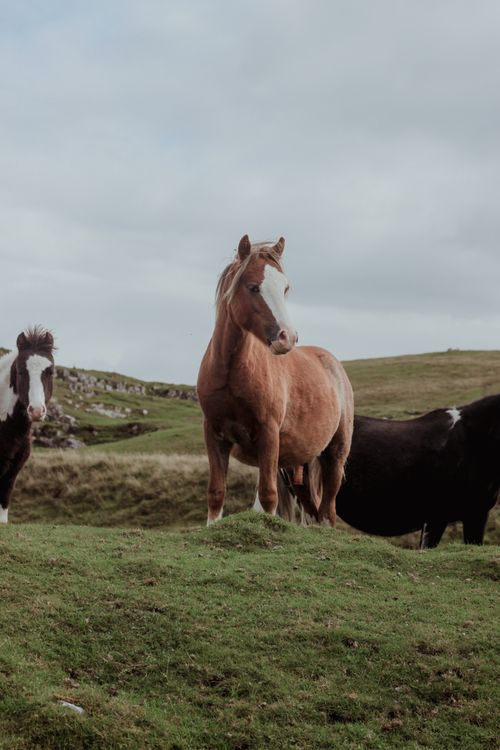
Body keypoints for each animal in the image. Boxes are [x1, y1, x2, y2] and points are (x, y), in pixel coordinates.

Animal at [197, 234, 354, 526]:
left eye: (285, 288)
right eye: (253, 287)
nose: (287, 337)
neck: (231, 373)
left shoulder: (268, 434)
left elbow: (268, 495)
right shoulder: (214, 434)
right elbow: (216, 492)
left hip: (335, 455)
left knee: (328, 511)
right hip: (297, 466)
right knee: (312, 510)